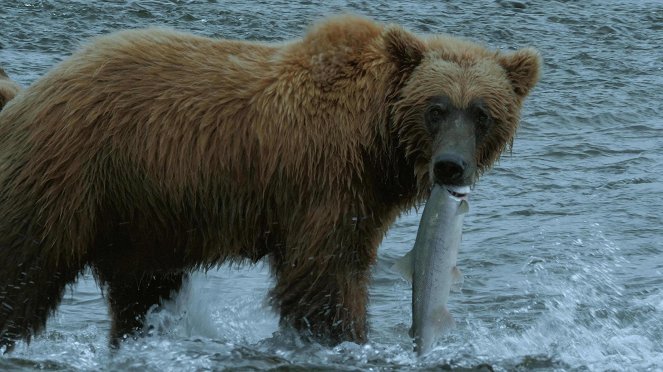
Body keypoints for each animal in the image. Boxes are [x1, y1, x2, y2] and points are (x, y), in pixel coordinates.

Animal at [0, 15, 544, 352]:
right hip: (68, 177)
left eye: (481, 112)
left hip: (140, 214)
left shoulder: (359, 195)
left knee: (143, 289)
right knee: (24, 269)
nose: (451, 166)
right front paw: (342, 336)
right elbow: (326, 274)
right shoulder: (326, 180)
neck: (375, 141)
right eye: (436, 108)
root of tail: (30, 94)